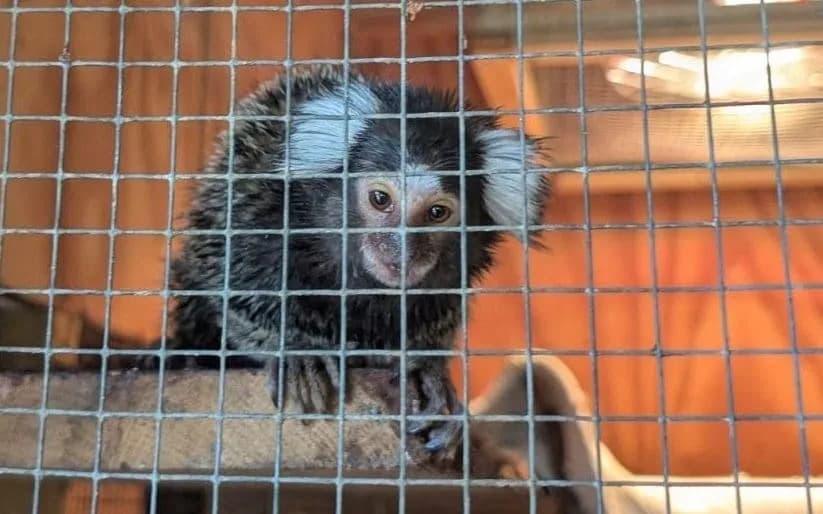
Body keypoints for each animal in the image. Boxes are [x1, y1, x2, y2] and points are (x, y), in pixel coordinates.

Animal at [163, 64, 551, 461]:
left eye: (437, 212)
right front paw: (295, 350)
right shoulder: (254, 205)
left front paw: (427, 371)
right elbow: (232, 289)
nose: (401, 251)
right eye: (380, 199)